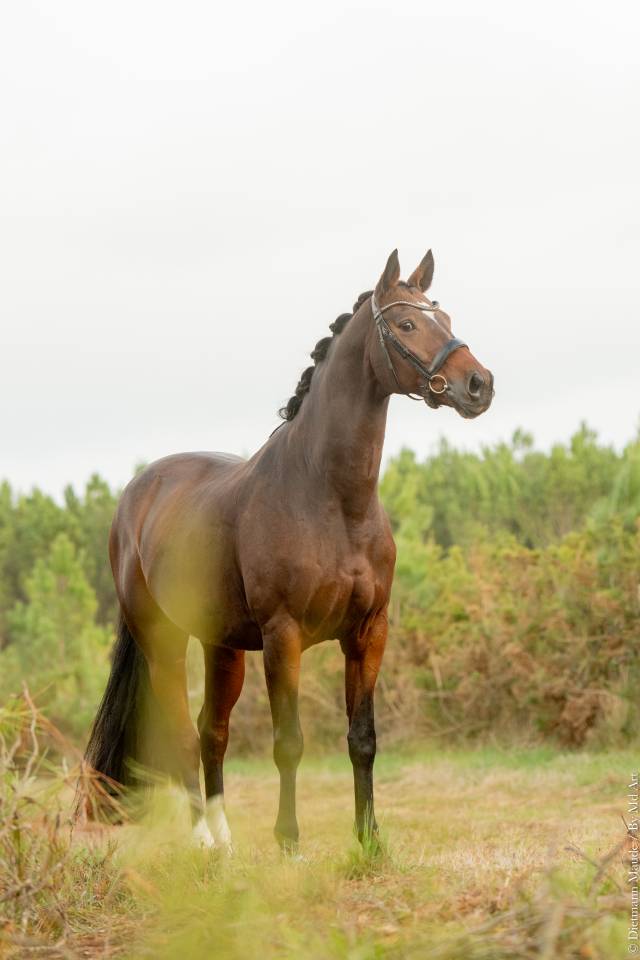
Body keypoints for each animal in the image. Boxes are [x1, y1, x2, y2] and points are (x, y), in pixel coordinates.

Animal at [85, 248, 494, 852]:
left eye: (443, 316)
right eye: (405, 324)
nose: (478, 385)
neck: (331, 498)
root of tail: (138, 494)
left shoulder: (369, 632)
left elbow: (362, 738)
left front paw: (369, 840)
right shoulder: (284, 637)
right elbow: (289, 742)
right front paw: (289, 842)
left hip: (223, 646)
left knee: (212, 731)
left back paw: (225, 841)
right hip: (164, 640)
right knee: (181, 732)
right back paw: (201, 840)